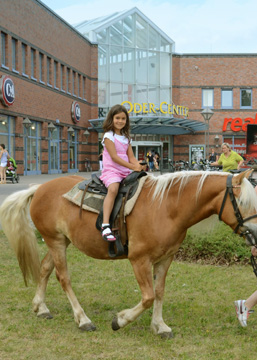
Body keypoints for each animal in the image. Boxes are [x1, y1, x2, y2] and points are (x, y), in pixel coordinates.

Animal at [0, 169, 256, 338]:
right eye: (243, 202)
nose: (255, 232)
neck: (166, 207)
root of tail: (39, 189)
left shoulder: (165, 259)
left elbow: (159, 292)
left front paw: (159, 326)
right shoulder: (139, 260)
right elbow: (148, 296)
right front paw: (120, 320)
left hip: (61, 241)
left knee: (44, 269)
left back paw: (41, 307)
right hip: (55, 242)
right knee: (63, 278)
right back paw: (83, 319)